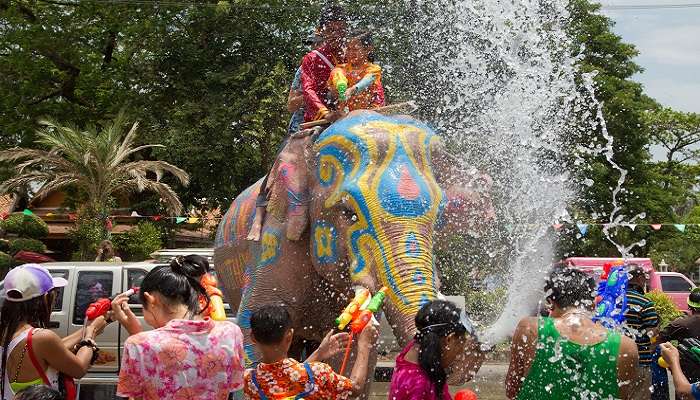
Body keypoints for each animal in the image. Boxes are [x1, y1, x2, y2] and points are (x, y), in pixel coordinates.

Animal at [213, 110, 492, 388]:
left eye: (438, 217)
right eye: (349, 213)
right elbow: (253, 327)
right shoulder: (276, 242)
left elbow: (352, 356)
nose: (466, 347)